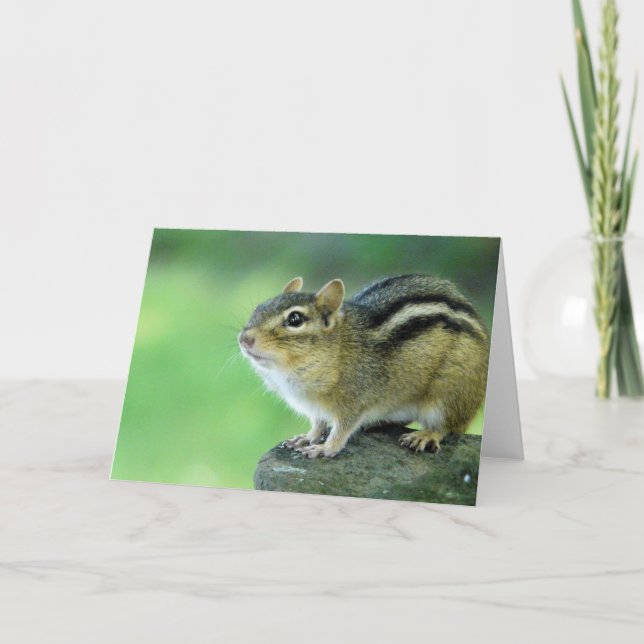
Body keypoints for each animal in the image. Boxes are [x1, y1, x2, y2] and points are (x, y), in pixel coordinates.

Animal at [238, 275, 489, 459]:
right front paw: (308, 437)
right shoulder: (315, 407)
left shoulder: (355, 400)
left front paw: (325, 448)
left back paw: (426, 435)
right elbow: (318, 424)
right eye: (258, 309)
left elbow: (341, 430)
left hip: (449, 393)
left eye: (295, 319)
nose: (244, 338)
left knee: (448, 426)